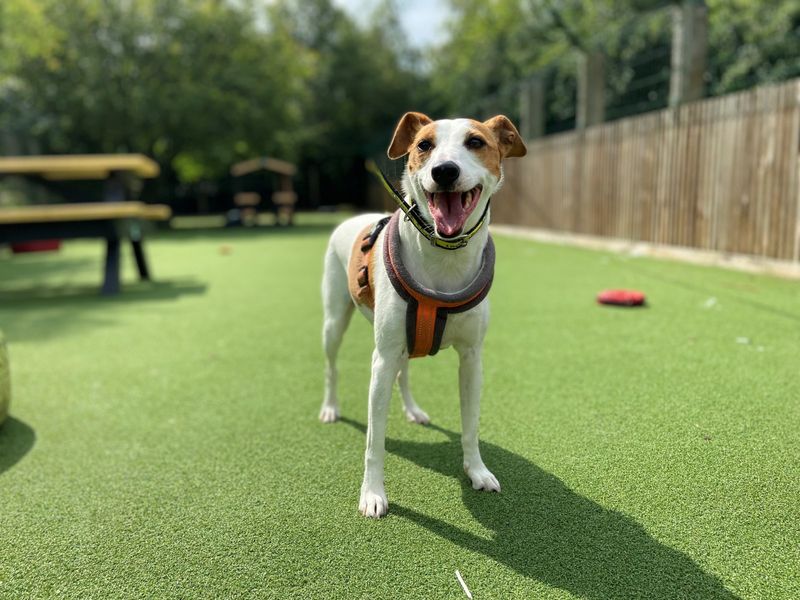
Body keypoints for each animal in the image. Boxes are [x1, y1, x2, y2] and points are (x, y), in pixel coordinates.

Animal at [318, 111, 532, 516]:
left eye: (476, 142)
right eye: (423, 145)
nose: (444, 171)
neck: (445, 255)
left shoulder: (472, 359)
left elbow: (470, 425)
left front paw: (477, 470)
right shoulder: (382, 358)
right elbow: (374, 441)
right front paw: (372, 493)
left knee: (404, 373)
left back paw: (413, 411)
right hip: (335, 322)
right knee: (333, 367)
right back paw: (330, 407)